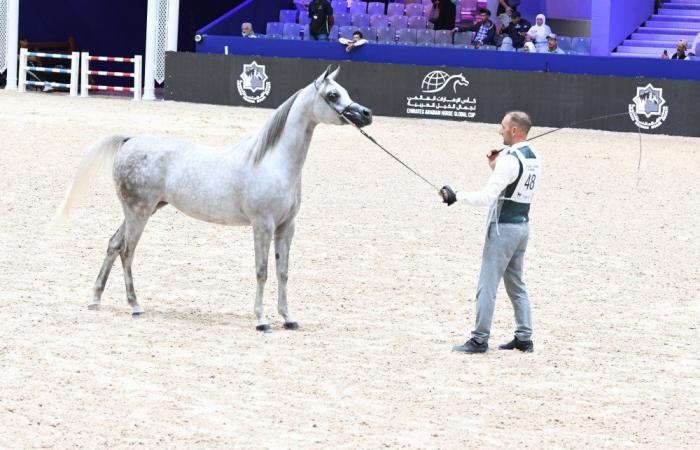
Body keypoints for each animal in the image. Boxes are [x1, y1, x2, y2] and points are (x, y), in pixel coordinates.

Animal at [52, 66, 372, 330]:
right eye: (333, 94)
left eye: (344, 91)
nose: (366, 114)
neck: (273, 161)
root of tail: (129, 141)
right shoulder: (263, 225)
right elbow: (262, 271)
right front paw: (261, 320)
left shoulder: (286, 226)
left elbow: (283, 272)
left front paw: (288, 318)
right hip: (138, 213)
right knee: (127, 252)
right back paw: (135, 305)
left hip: (141, 211)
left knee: (114, 244)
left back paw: (96, 299)